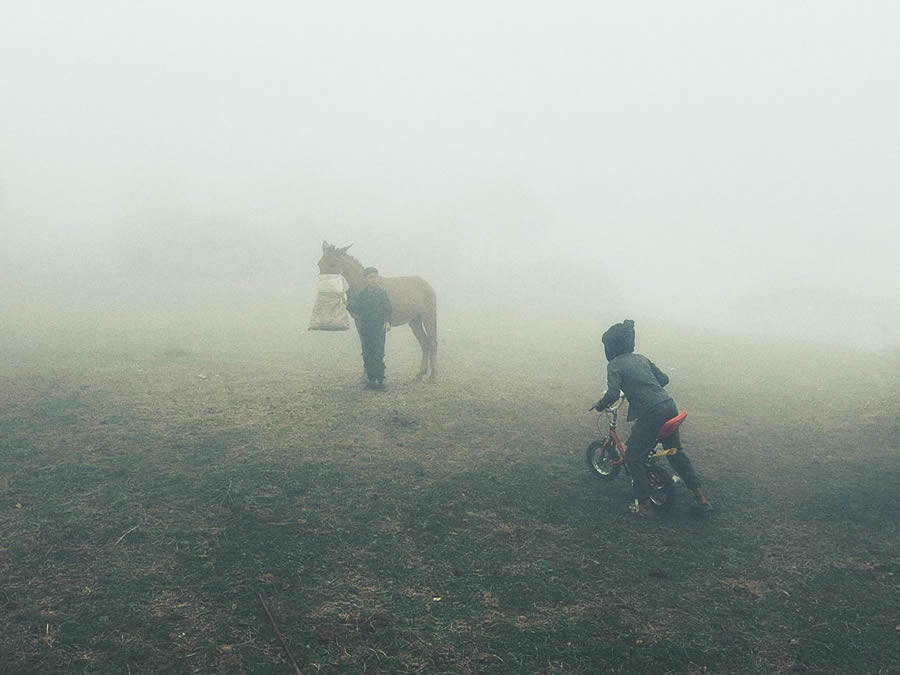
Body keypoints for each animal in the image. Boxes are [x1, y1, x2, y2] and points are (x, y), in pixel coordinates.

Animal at [318, 242, 438, 380]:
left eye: (332, 264)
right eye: (319, 264)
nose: (323, 290)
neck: (364, 285)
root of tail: (427, 285)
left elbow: (368, 345)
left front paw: (368, 374)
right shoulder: (359, 321)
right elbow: (364, 345)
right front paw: (366, 374)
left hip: (428, 316)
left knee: (432, 342)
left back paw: (433, 376)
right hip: (415, 321)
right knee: (424, 343)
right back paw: (420, 373)